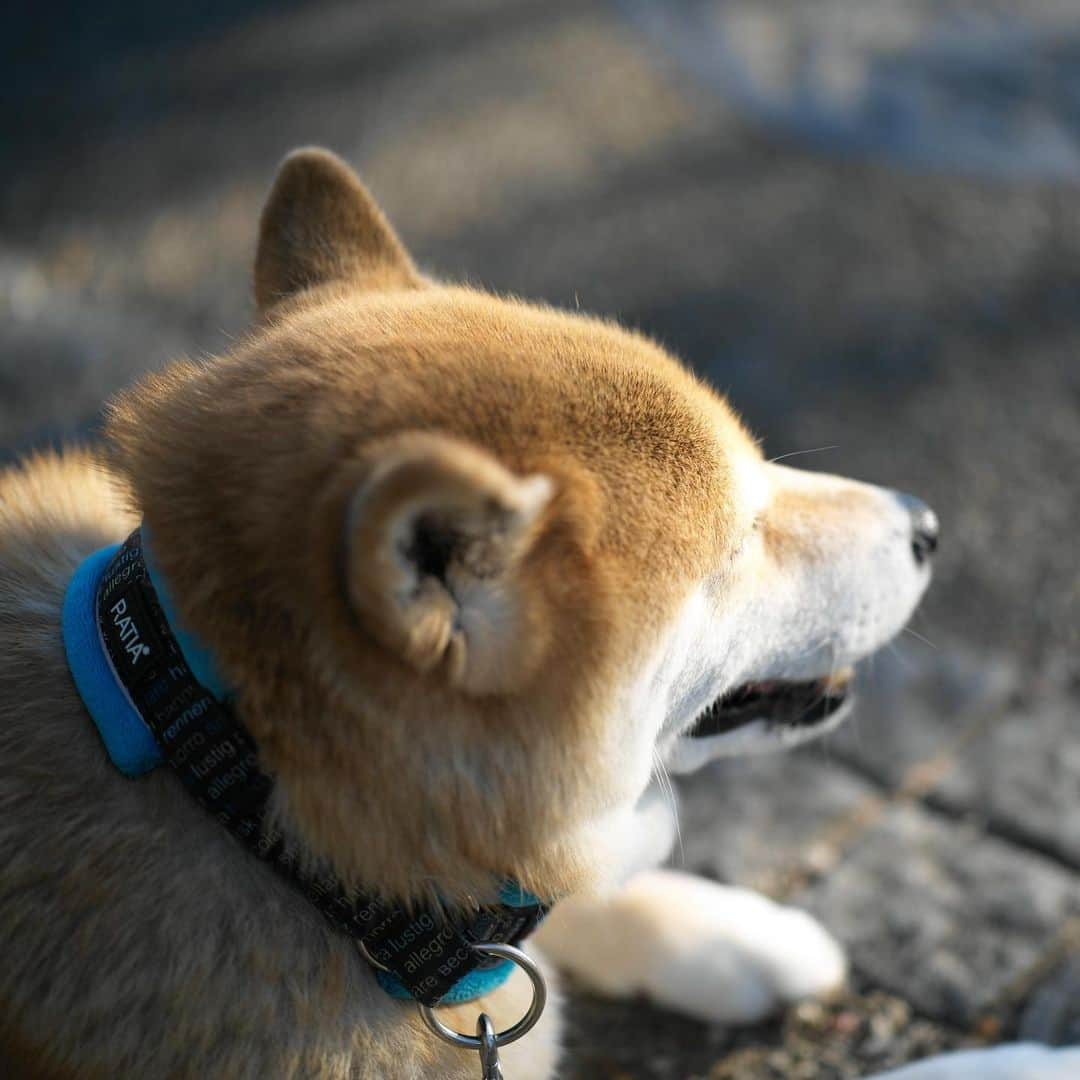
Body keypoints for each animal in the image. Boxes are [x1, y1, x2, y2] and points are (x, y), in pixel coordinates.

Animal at [4, 145, 1071, 1080]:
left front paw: (732, 932)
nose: (926, 524)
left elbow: (564, 904)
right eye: (737, 543)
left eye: (762, 466)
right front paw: (1028, 1062)